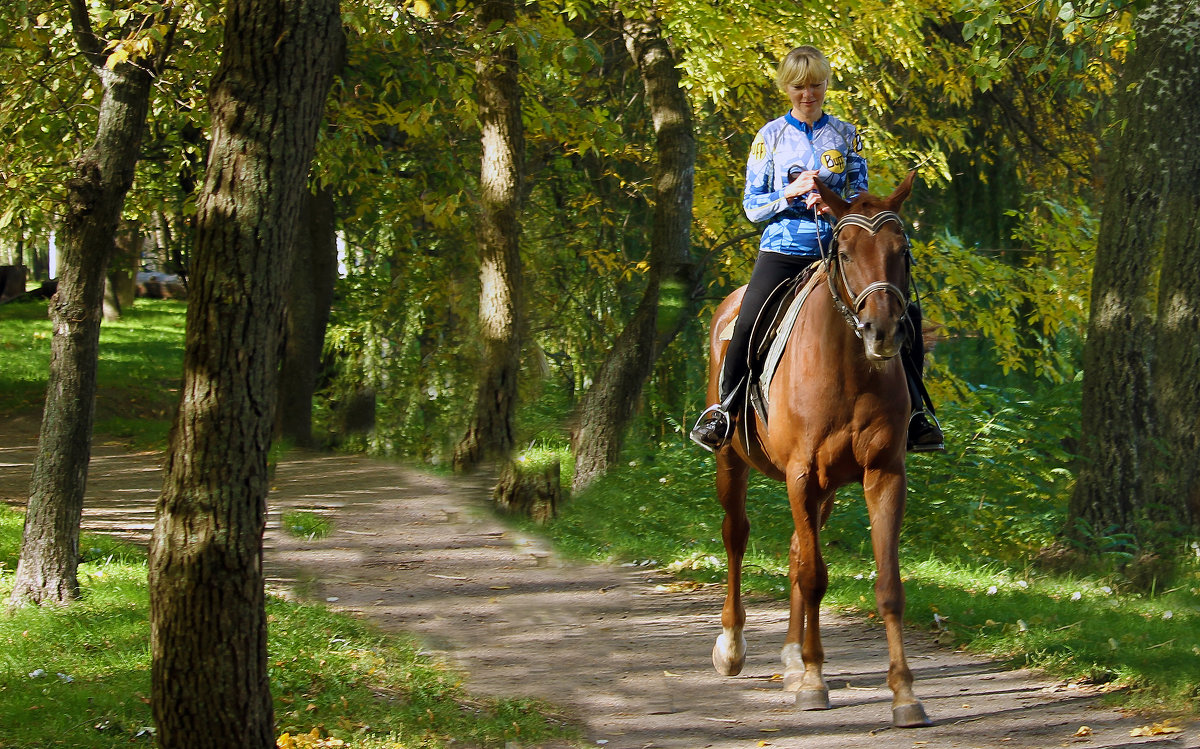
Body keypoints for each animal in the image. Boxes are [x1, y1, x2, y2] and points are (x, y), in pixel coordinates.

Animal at [705, 172, 931, 729]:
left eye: (902, 251)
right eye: (845, 253)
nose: (883, 331)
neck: (849, 367)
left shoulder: (883, 474)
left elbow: (888, 587)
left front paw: (904, 694)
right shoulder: (801, 474)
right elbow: (813, 576)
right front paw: (813, 681)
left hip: (825, 488)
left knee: (793, 547)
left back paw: (789, 656)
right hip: (732, 462)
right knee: (736, 536)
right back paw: (734, 644)